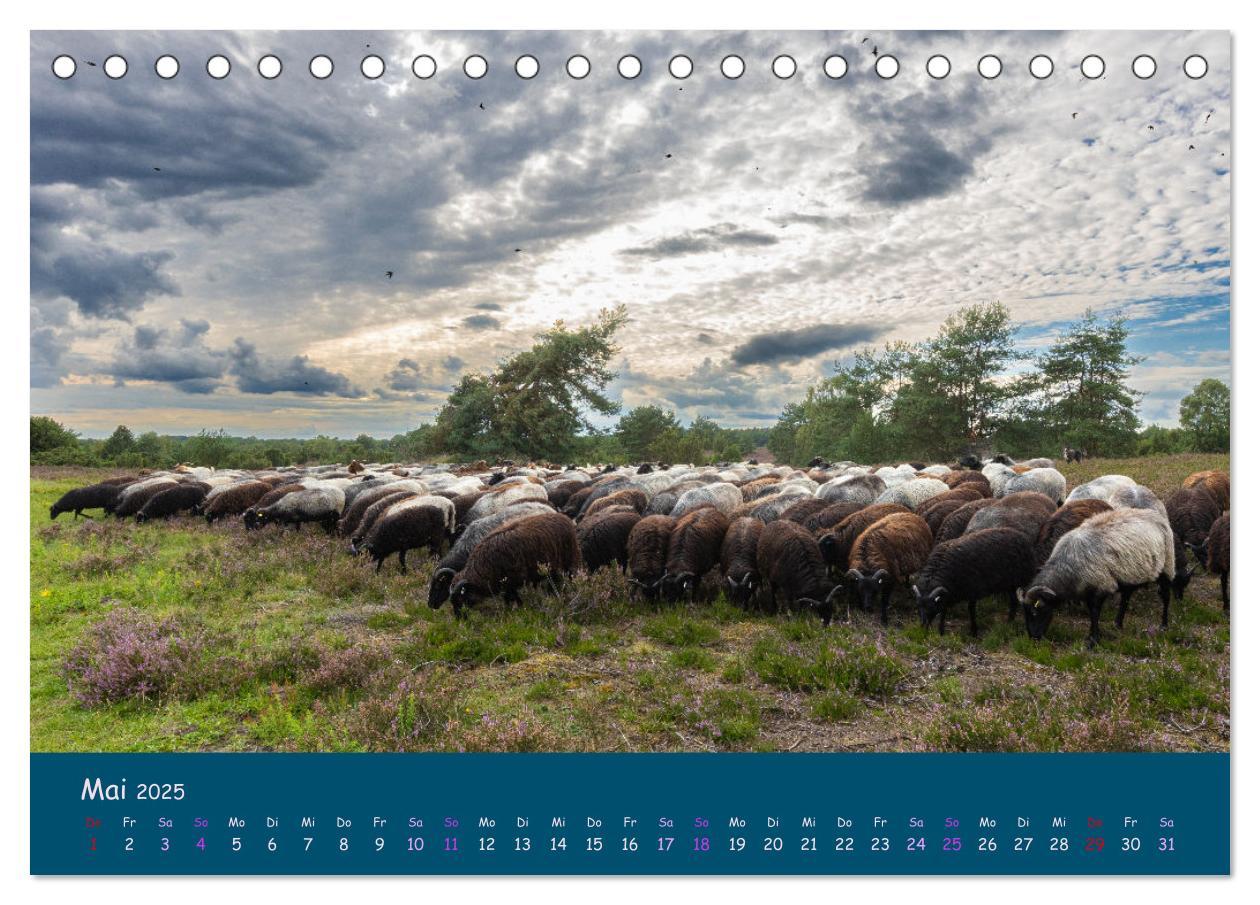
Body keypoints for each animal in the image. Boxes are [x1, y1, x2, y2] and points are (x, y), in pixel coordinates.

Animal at [448, 514, 579, 620]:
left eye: (461, 599)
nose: (459, 620)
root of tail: (565, 518)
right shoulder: (508, 585)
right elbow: (508, 599)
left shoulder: (513, 582)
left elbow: (513, 599)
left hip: (569, 561)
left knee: (569, 578)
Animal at [1023, 506, 1169, 650]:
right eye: (1025, 613)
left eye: (1035, 611)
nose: (1033, 638)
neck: (1067, 566)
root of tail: (1152, 513)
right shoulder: (1087, 588)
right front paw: (1093, 636)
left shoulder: (1101, 585)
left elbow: (1094, 612)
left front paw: (1093, 640)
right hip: (1130, 574)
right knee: (1126, 596)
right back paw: (1118, 624)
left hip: (1167, 566)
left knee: (1165, 595)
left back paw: (1164, 626)